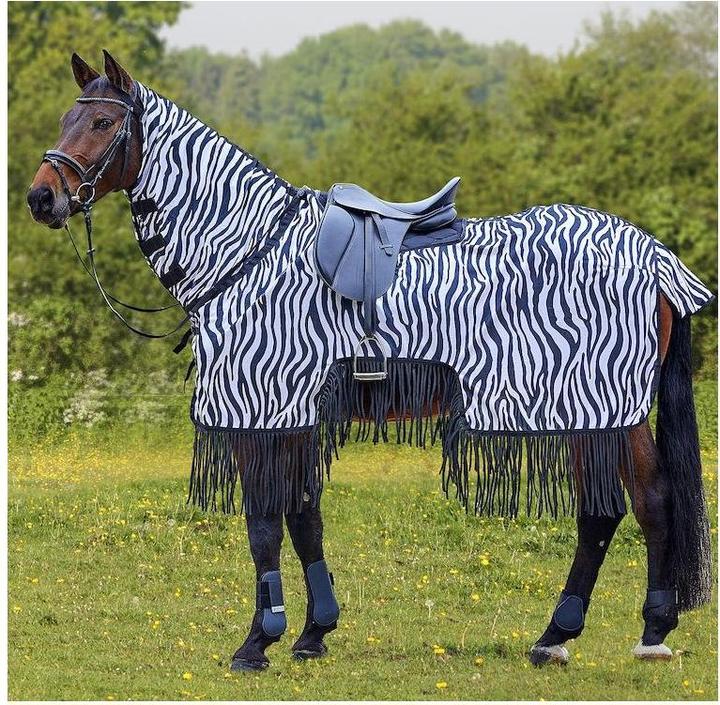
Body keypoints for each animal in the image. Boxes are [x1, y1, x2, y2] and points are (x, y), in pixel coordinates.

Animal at [28, 51, 713, 671]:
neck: (248, 250)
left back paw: (634, 631)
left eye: (101, 123)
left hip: (605, 408)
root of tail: (655, 256)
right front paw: (313, 633)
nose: (41, 198)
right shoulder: (294, 411)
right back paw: (569, 637)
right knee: (618, 507)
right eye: (65, 117)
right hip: (591, 412)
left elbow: (263, 523)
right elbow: (303, 515)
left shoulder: (262, 407)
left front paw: (257, 643)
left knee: (640, 503)